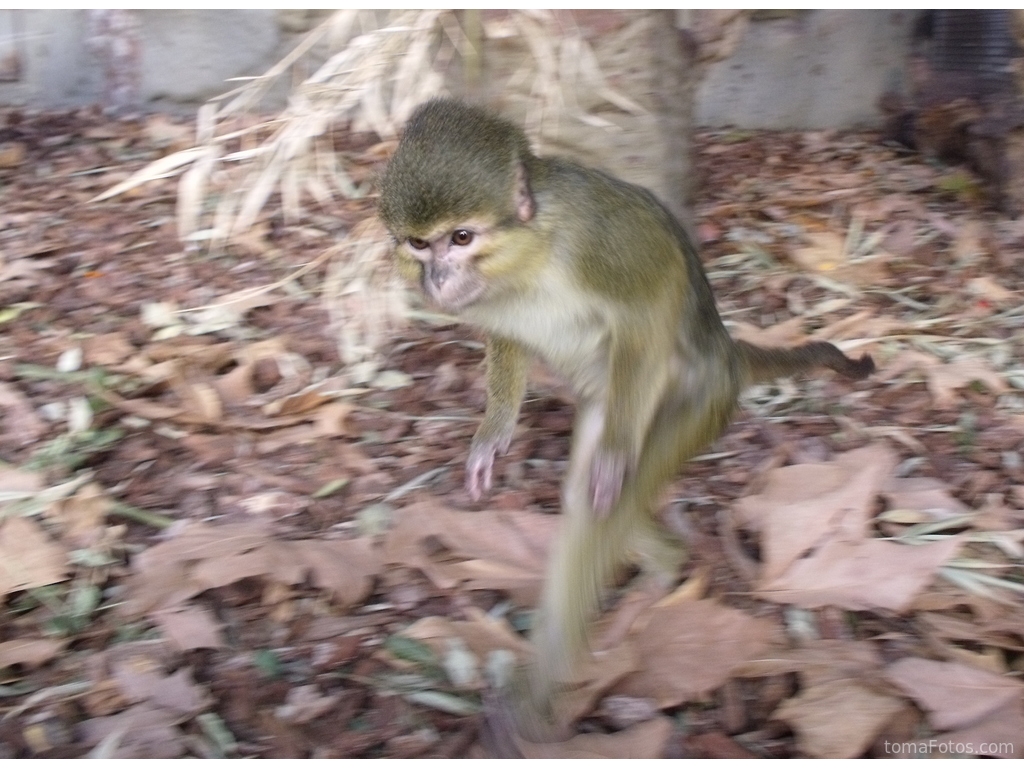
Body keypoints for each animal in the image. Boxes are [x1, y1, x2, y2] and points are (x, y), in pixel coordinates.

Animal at [376, 97, 872, 741]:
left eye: (461, 237)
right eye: (418, 244)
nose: (436, 278)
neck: (527, 251)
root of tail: (726, 354)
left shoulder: (599, 236)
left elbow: (647, 303)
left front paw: (607, 456)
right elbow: (508, 336)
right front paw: (495, 430)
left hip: (694, 403)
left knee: (612, 485)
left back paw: (541, 699)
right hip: (609, 403)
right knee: (587, 499)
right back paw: (663, 563)